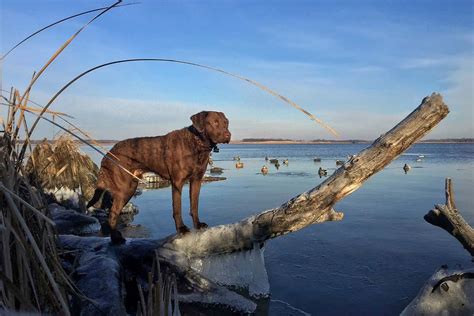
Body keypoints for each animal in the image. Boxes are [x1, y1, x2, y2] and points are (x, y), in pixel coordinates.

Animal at [88, 111, 232, 244]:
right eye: (214, 122)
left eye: (226, 122)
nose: (228, 135)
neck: (196, 144)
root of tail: (108, 154)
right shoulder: (177, 182)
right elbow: (177, 208)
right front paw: (181, 228)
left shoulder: (196, 180)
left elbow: (194, 206)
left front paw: (198, 224)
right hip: (124, 189)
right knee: (112, 214)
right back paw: (115, 238)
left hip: (130, 187)